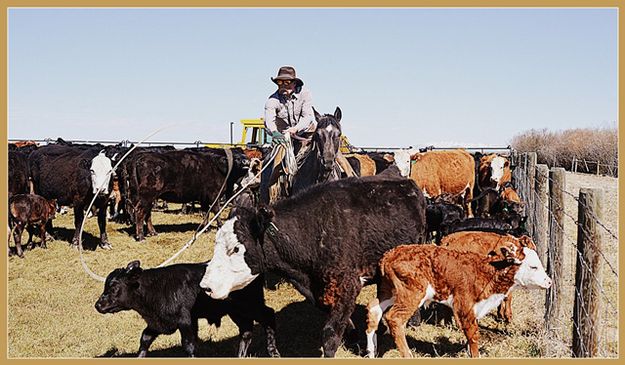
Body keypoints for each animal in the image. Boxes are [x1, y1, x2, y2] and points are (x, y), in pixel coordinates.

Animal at [93, 260, 278, 356]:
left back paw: (273, 352)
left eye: (114, 287)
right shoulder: (158, 323)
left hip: (250, 305)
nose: (98, 305)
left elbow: (189, 345)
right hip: (237, 311)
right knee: (246, 331)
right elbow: (145, 339)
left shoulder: (185, 321)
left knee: (268, 316)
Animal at [199, 175, 424, 356]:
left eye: (236, 248)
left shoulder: (348, 284)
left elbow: (330, 334)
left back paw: (414, 322)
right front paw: (355, 339)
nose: (206, 286)